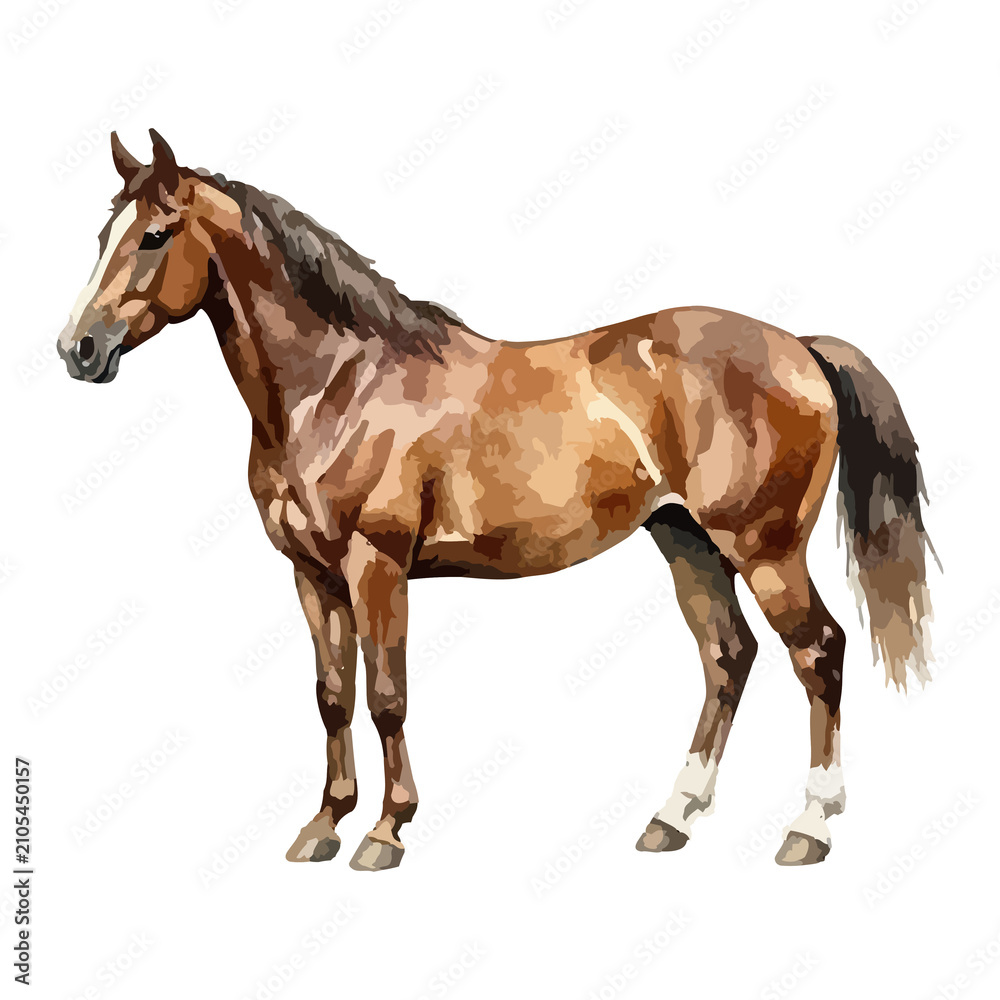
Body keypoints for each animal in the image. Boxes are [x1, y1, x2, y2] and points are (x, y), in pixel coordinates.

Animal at [57, 130, 935, 870]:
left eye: (155, 235)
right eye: (103, 236)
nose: (78, 349)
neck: (339, 383)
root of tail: (800, 347)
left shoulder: (376, 567)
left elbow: (387, 696)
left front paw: (385, 832)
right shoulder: (310, 574)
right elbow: (332, 697)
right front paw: (322, 826)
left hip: (763, 548)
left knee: (818, 652)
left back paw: (809, 828)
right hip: (685, 540)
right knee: (728, 657)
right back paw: (672, 818)